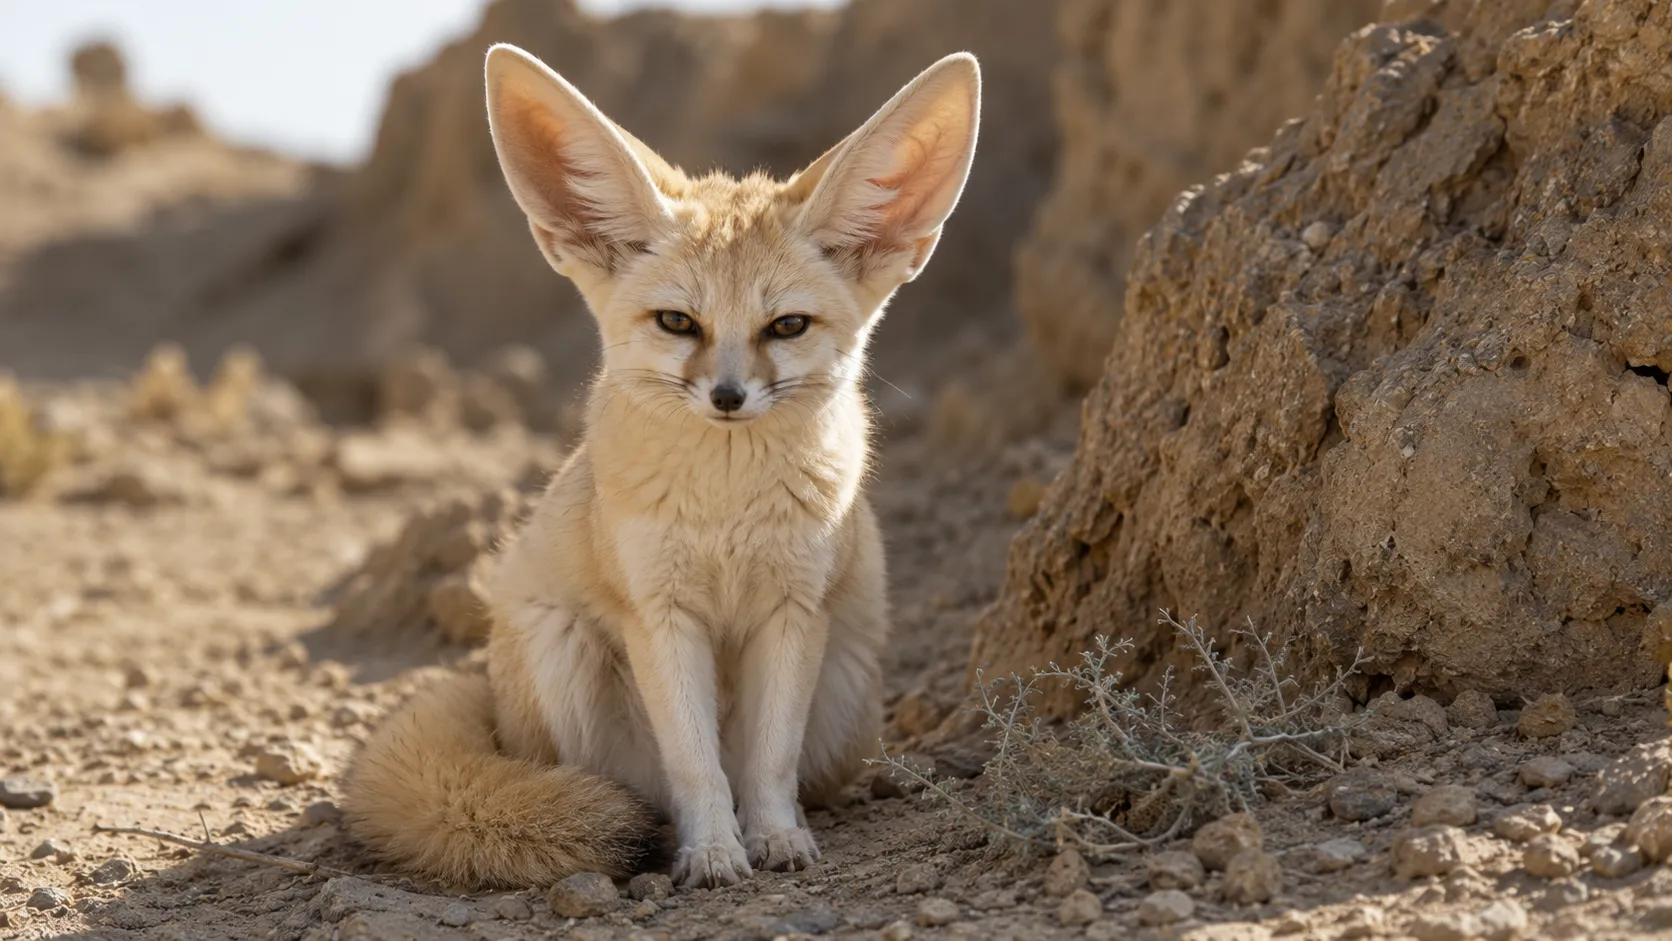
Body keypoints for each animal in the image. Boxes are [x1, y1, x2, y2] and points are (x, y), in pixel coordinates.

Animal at [341, 42, 981, 890]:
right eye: (679, 322)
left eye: (787, 327)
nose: (728, 395)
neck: (727, 509)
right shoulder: (659, 613)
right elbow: (696, 763)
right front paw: (712, 852)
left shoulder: (792, 610)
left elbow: (767, 761)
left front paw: (776, 838)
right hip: (563, 647)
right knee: (615, 785)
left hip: (845, 687)